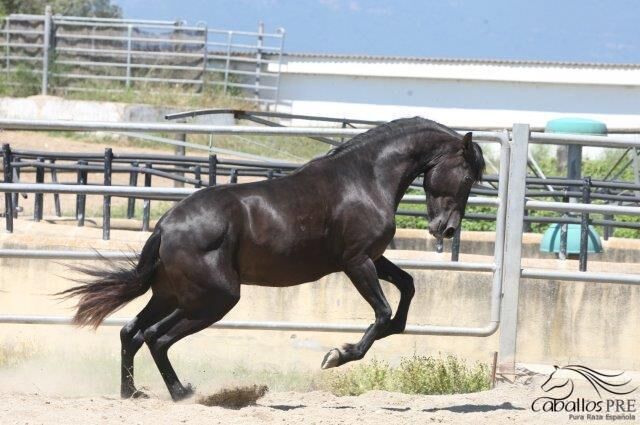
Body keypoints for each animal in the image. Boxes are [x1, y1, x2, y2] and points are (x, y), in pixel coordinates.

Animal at [60, 117, 482, 400]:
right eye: (466, 177)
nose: (445, 230)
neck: (364, 179)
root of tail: (165, 227)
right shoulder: (357, 261)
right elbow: (381, 313)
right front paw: (337, 356)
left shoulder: (373, 259)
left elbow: (407, 288)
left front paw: (387, 331)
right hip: (214, 299)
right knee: (156, 337)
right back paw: (182, 393)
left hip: (170, 294)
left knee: (131, 332)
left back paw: (132, 393)